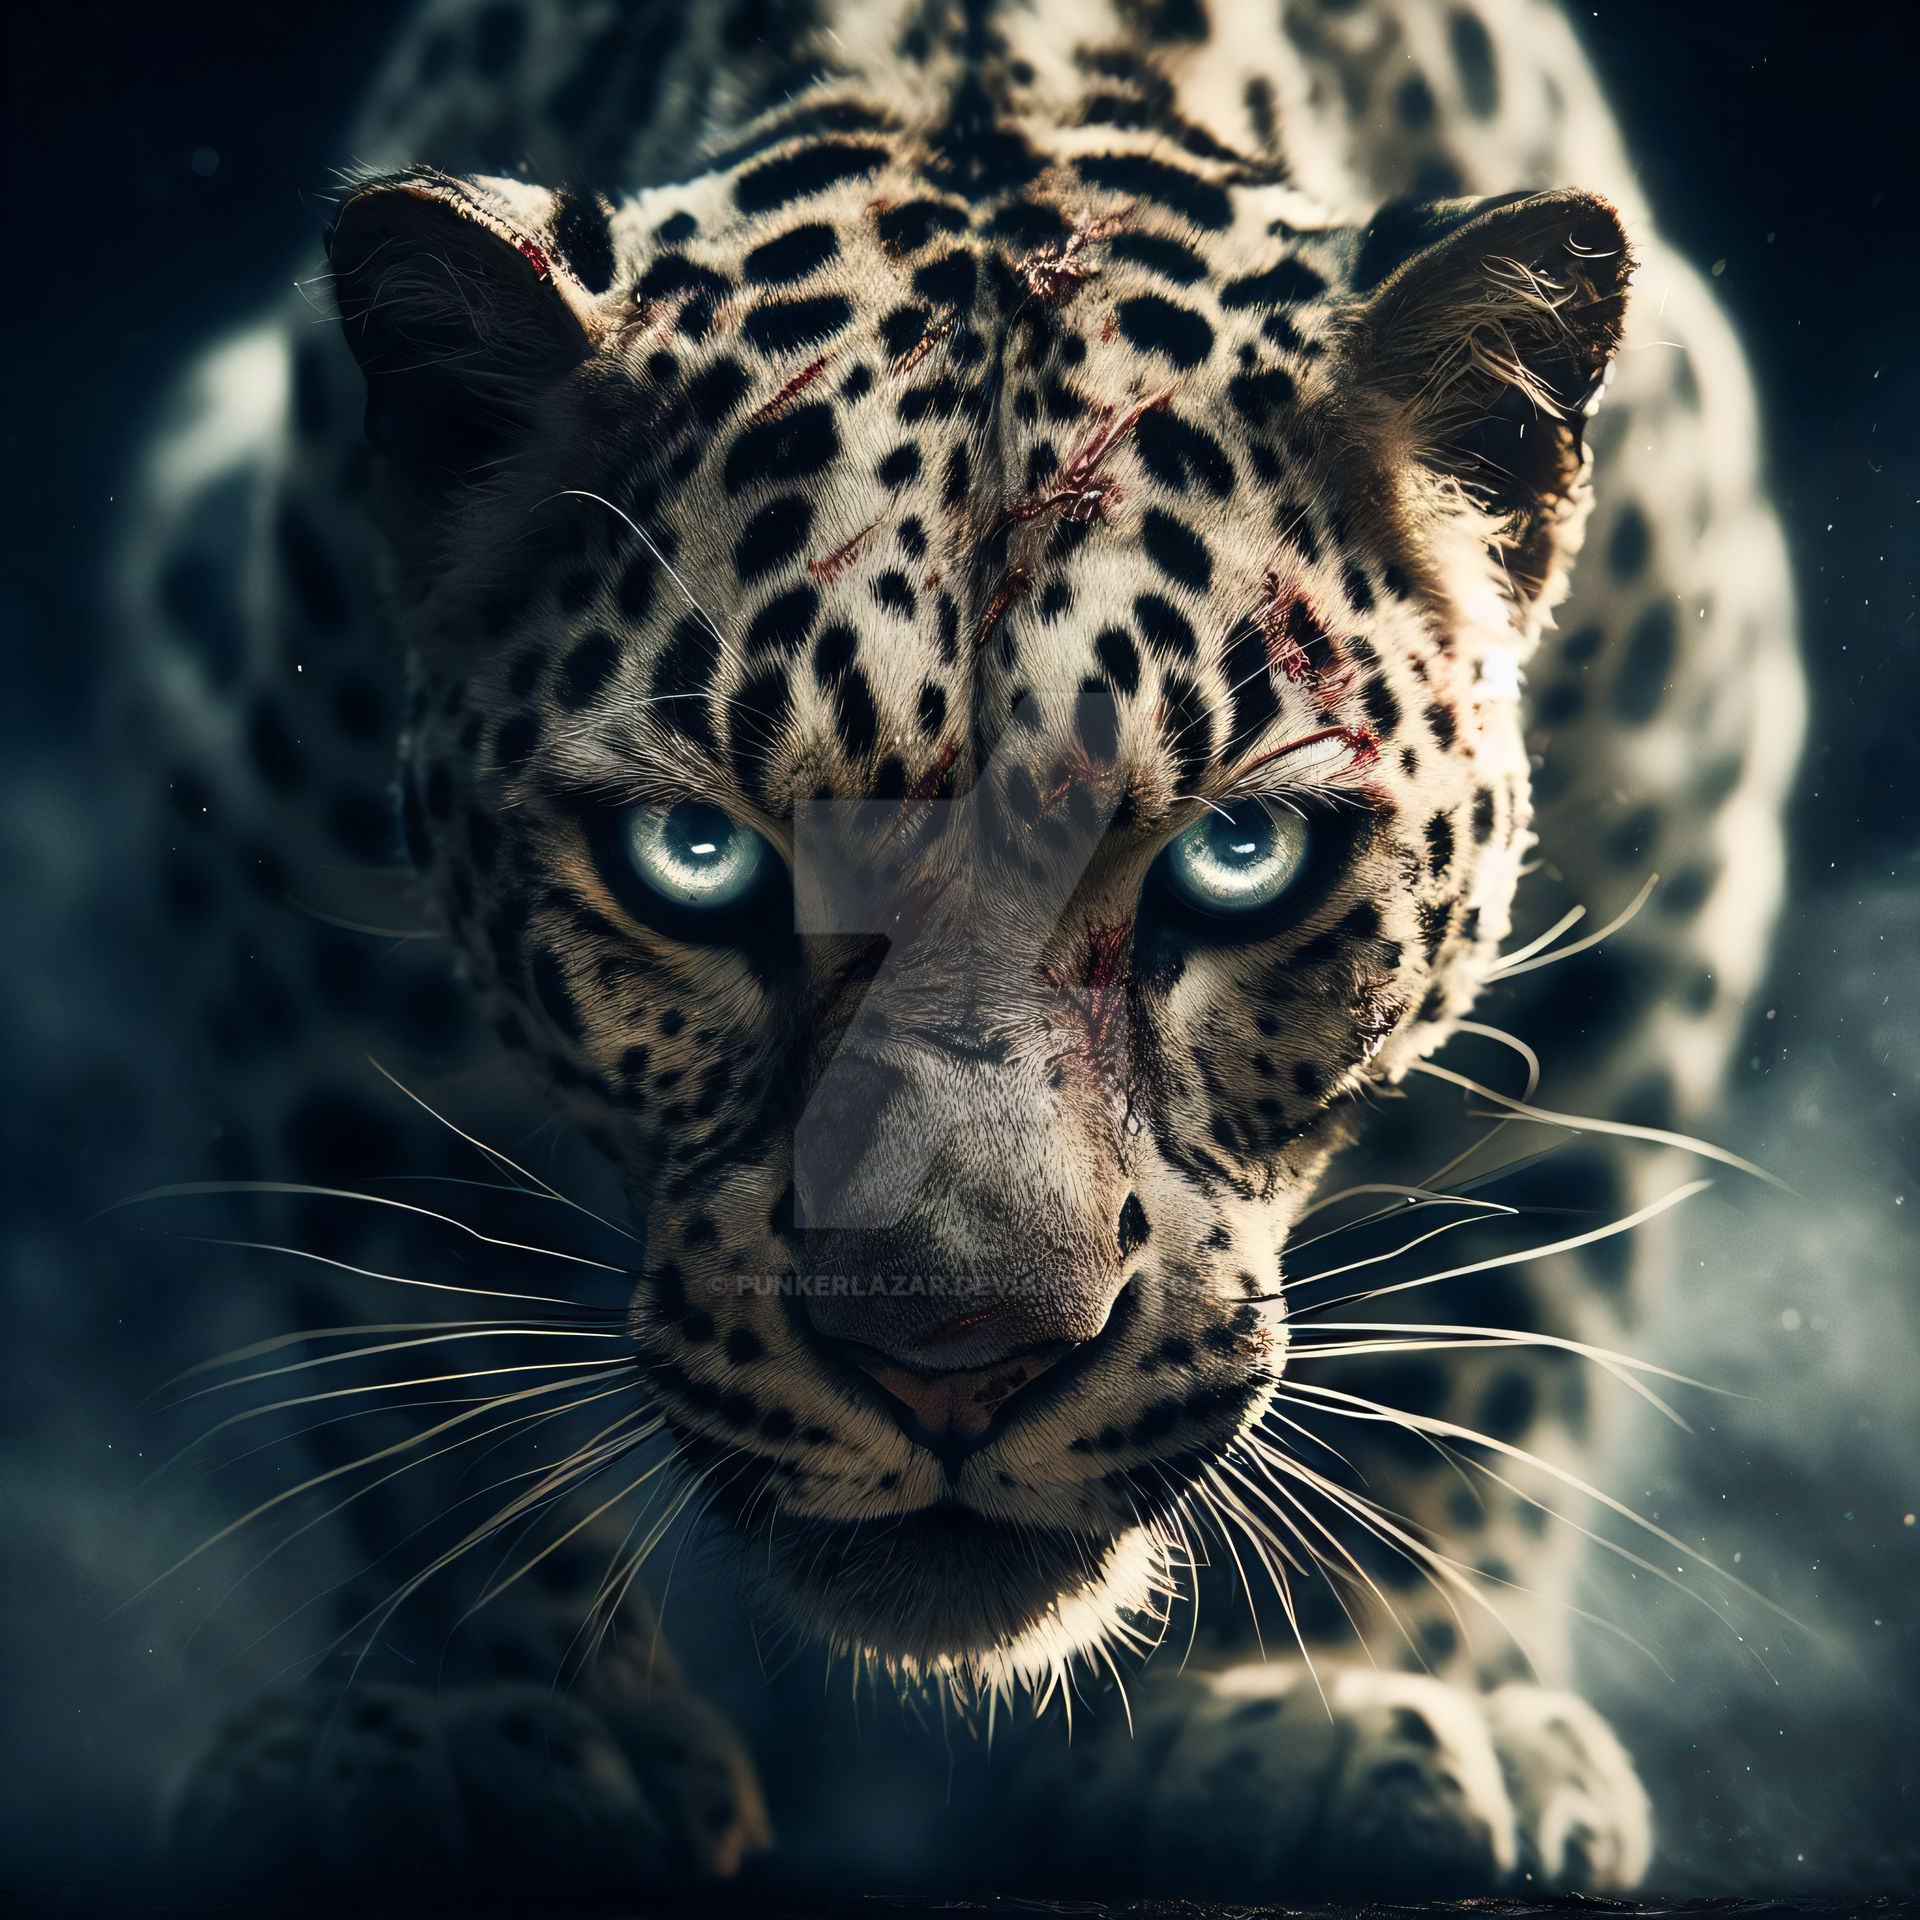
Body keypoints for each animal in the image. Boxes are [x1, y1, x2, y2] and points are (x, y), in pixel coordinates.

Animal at [114, 0, 1803, 1901]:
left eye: (1241, 859)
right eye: (695, 858)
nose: (957, 1361)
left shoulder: (1682, 778)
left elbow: (1493, 1317)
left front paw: (1353, 1705)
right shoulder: (266, 791)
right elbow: (408, 1331)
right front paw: (483, 1726)